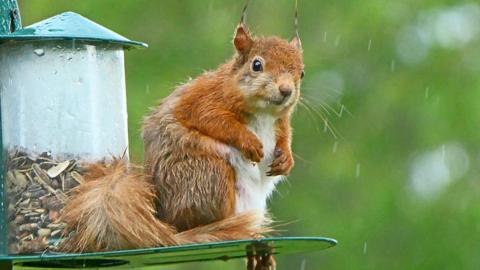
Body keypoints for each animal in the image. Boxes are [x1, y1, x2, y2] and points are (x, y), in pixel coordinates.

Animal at [58, 6, 302, 260]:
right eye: (257, 65)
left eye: (301, 73)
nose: (286, 90)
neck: (264, 112)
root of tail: (168, 230)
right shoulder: (201, 101)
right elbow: (216, 121)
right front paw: (249, 142)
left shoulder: (280, 123)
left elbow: (285, 136)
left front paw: (286, 158)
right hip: (211, 174)